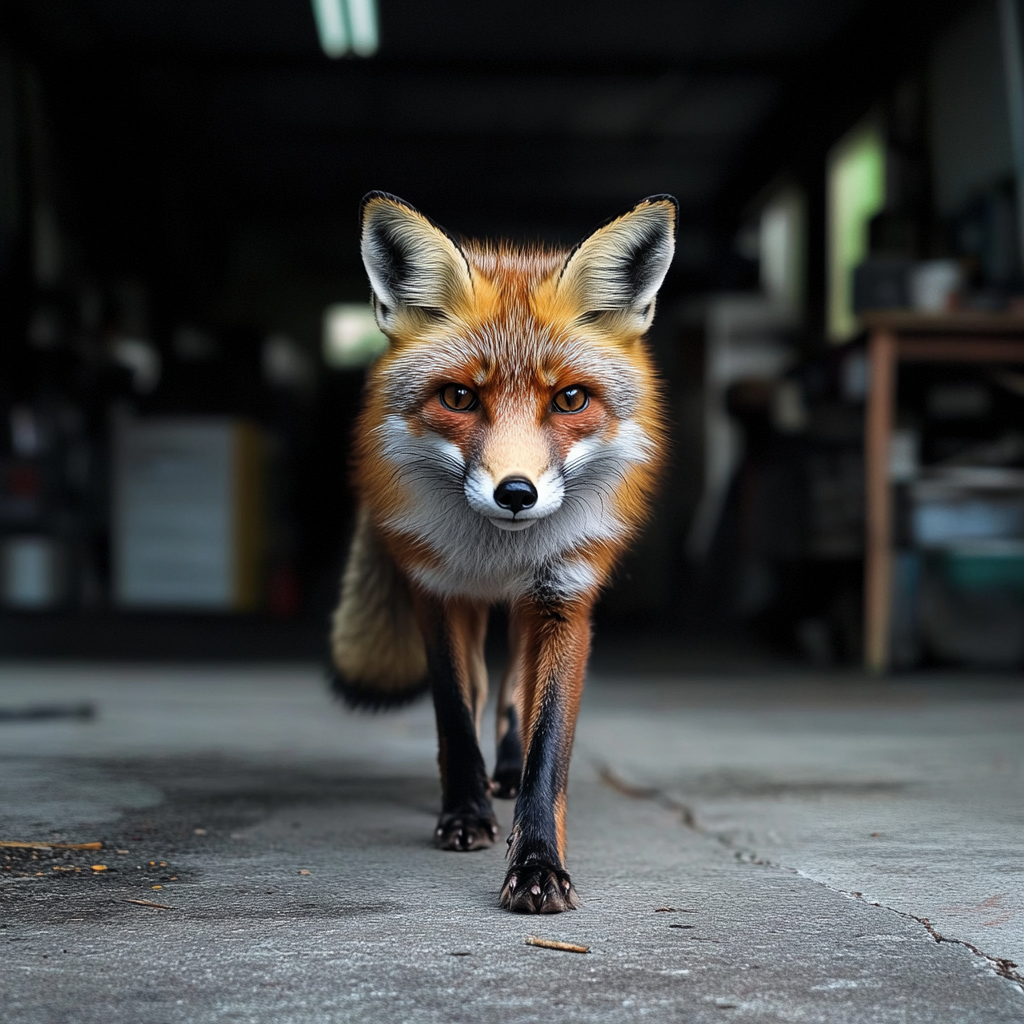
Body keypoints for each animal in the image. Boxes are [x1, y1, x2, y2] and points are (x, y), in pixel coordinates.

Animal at [331, 192, 675, 913]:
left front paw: (538, 863)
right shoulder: (436, 591)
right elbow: (456, 716)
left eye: (570, 398)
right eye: (459, 396)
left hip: (529, 610)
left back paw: (509, 769)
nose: (515, 493)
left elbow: (549, 748)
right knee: (489, 687)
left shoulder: (565, 600)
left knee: (515, 690)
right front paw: (464, 812)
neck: (498, 557)